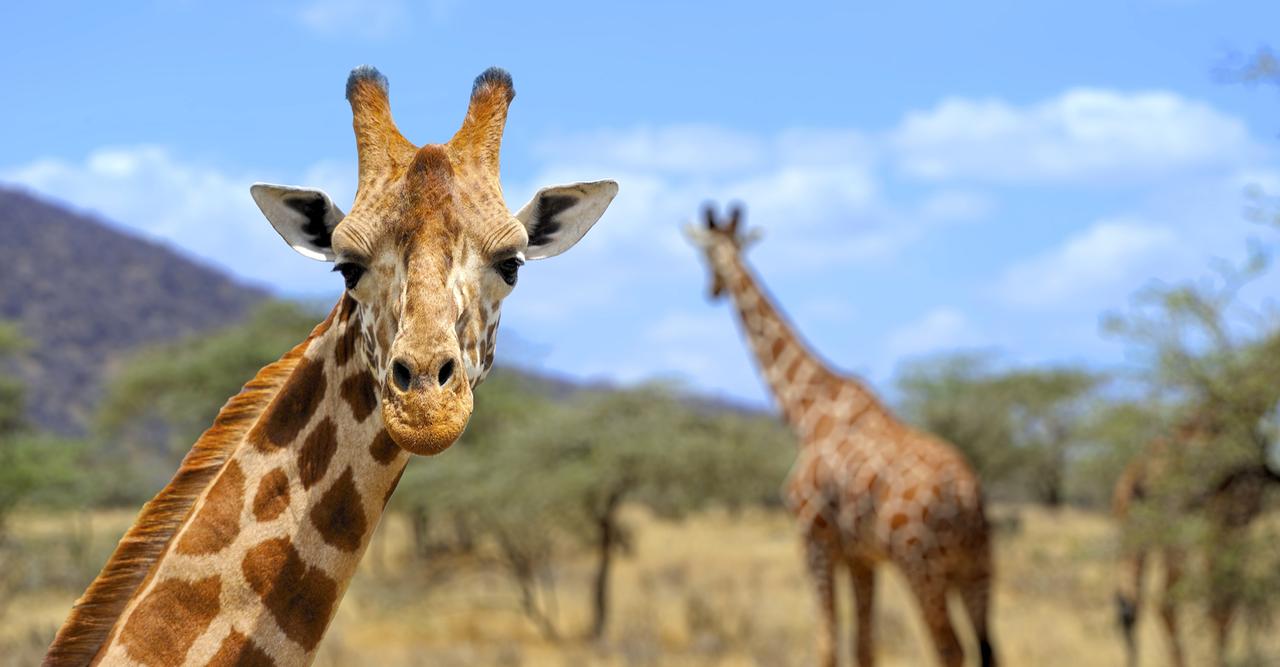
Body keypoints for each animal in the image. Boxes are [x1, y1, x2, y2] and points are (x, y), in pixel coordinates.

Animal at [685, 205, 995, 667]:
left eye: (704, 253)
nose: (712, 289)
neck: (808, 412)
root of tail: (967, 497)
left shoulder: (815, 539)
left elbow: (827, 646)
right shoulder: (861, 555)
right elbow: (863, 648)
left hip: (920, 564)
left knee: (950, 650)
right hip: (977, 567)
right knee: (989, 648)